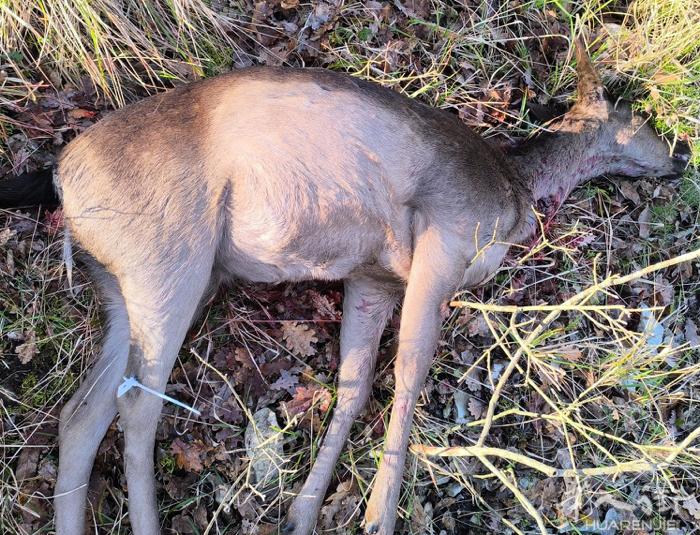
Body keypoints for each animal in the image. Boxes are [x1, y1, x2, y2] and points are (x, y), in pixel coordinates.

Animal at [0, 39, 690, 535]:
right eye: (635, 115)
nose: (681, 155)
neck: (513, 193)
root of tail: (58, 174)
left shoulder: (373, 277)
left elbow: (353, 386)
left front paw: (304, 513)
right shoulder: (445, 234)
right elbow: (409, 370)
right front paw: (379, 513)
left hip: (123, 282)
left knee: (83, 413)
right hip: (168, 256)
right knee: (137, 405)